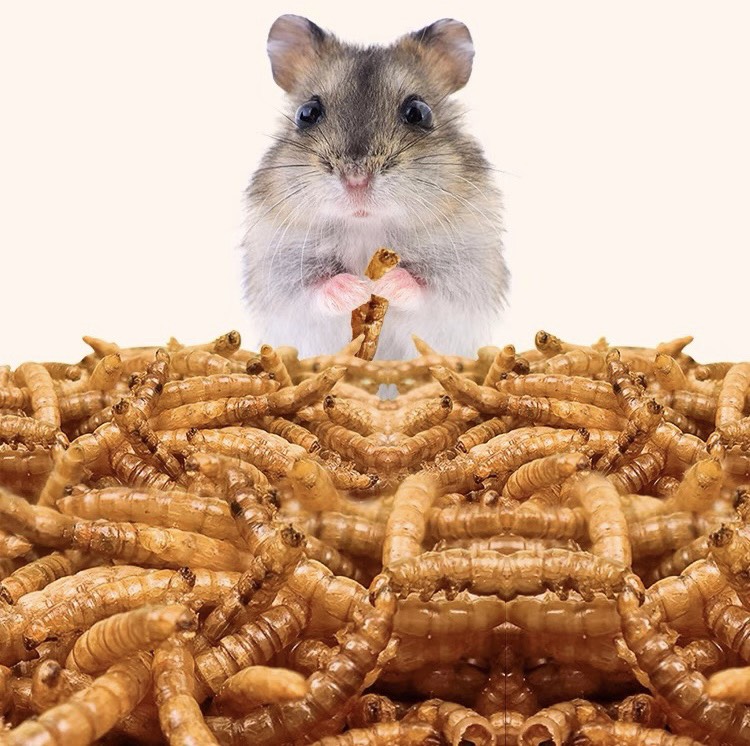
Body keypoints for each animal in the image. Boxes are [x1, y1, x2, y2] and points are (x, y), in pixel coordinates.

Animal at [241, 15, 508, 360]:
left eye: (419, 112)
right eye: (306, 114)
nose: (356, 180)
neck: (366, 227)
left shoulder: (463, 283)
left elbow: (425, 291)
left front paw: (383, 285)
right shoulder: (281, 279)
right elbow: (313, 292)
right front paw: (357, 288)